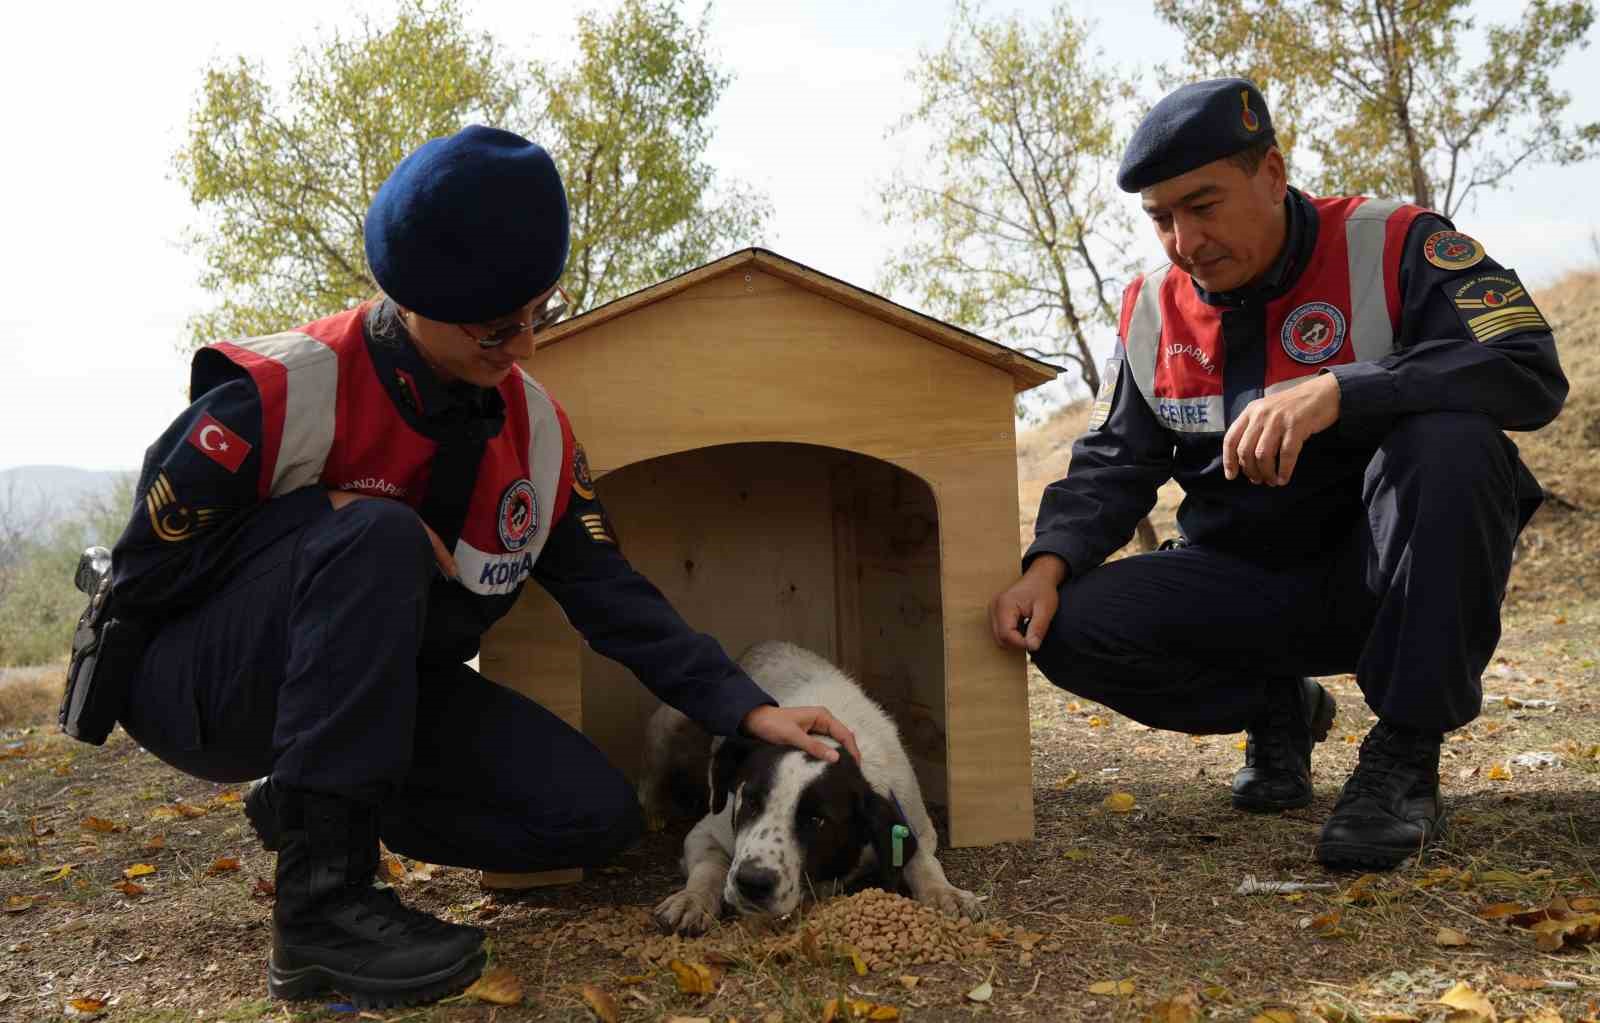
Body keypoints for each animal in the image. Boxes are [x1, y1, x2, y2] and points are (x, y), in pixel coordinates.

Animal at [636, 640, 972, 934]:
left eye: (817, 820)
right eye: (751, 801)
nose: (752, 882)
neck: (828, 743)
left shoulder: (915, 822)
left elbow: (923, 861)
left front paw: (945, 893)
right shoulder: (705, 832)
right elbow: (708, 867)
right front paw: (691, 900)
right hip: (671, 723)